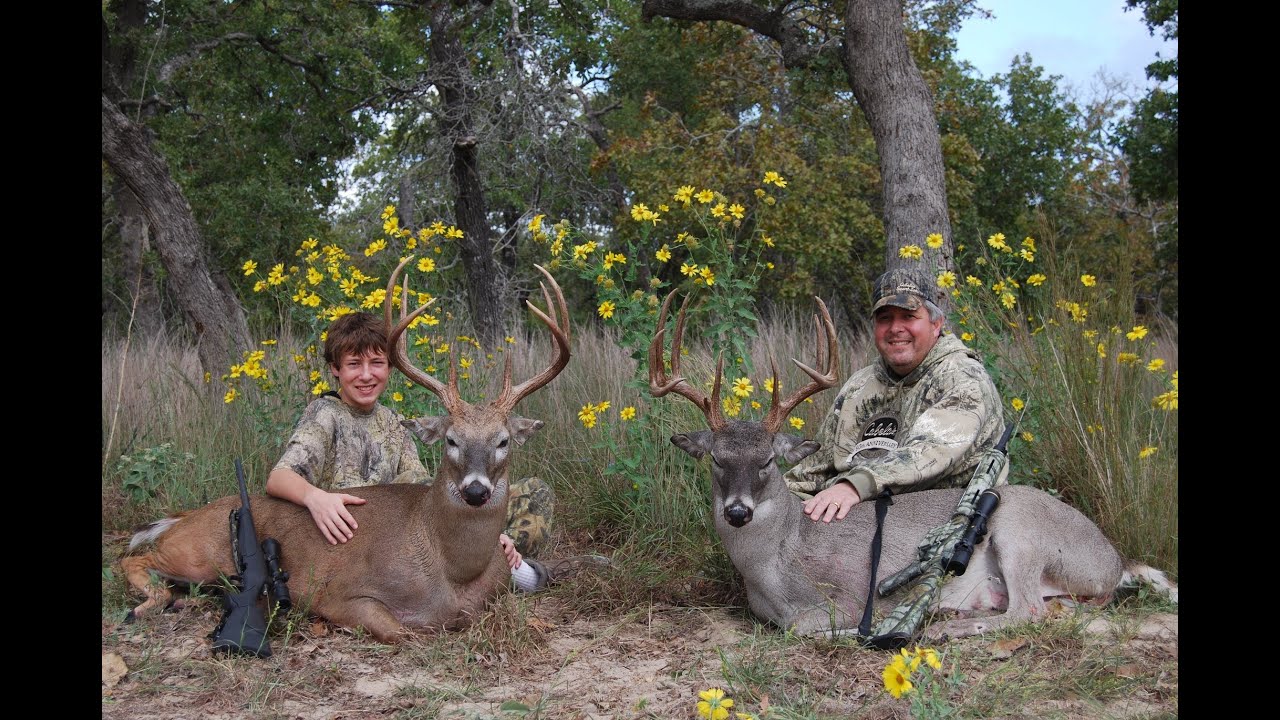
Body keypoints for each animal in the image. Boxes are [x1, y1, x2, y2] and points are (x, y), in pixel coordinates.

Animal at [119, 258, 571, 643]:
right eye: (451, 439)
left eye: (503, 440)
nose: (476, 491)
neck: (453, 569)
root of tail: (183, 516)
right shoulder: (339, 594)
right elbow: (404, 632)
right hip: (198, 552)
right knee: (132, 559)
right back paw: (150, 604)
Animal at [648, 291, 1177, 641]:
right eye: (717, 459)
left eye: (767, 462)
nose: (738, 512)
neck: (775, 559)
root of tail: (1114, 561)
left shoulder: (842, 598)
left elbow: (802, 628)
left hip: (1021, 530)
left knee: (1029, 611)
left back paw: (945, 626)